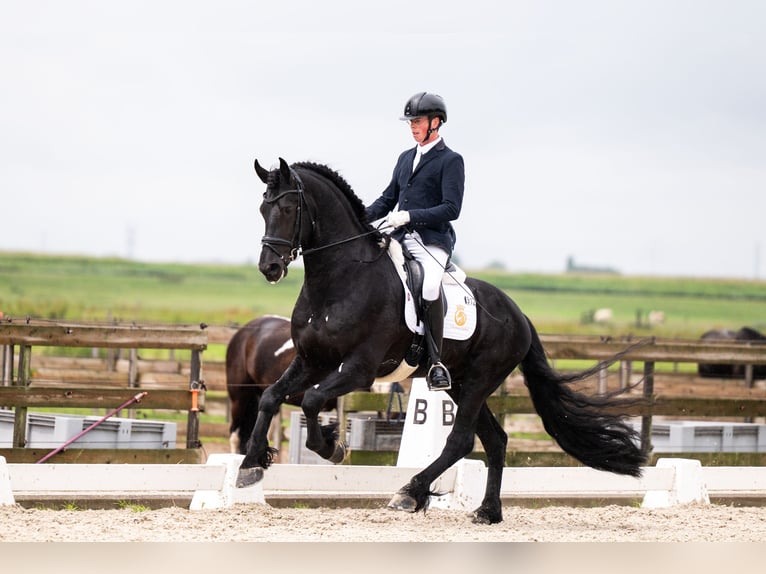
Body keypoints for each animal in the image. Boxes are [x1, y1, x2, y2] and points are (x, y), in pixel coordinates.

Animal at [236, 157, 648, 525]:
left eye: (288, 207)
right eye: (262, 208)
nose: (269, 267)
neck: (340, 280)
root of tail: (519, 315)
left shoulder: (358, 369)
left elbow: (311, 399)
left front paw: (332, 447)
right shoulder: (311, 360)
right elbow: (272, 396)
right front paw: (250, 464)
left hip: (481, 378)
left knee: (462, 440)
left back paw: (410, 493)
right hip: (460, 382)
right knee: (495, 440)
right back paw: (487, 512)